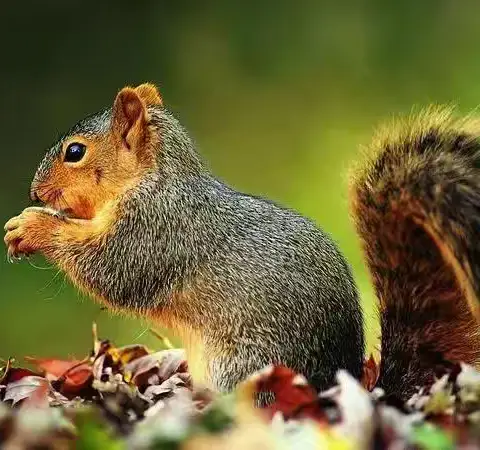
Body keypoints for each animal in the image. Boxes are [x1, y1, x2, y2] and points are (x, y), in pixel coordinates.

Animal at [3, 84, 480, 400]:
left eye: (75, 152)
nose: (35, 191)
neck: (155, 178)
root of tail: (335, 383)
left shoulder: (155, 229)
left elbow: (110, 270)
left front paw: (33, 227)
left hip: (243, 367)